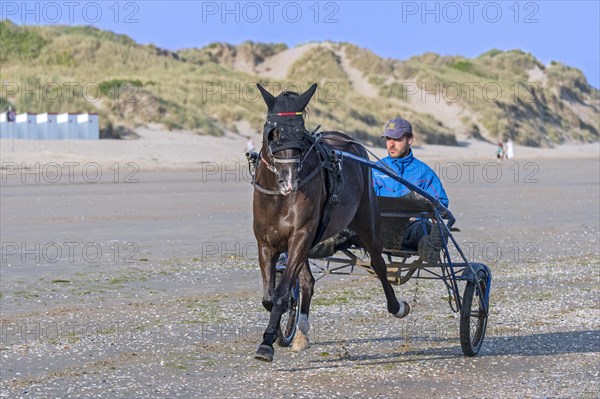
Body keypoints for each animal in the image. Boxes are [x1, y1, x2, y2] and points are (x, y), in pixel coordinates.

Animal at [251, 83, 410, 364]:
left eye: (300, 133)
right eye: (273, 133)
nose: (289, 181)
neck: (280, 197)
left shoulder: (301, 235)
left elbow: (281, 294)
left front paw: (267, 343)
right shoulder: (266, 243)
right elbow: (270, 297)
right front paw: (278, 332)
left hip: (367, 219)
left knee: (378, 263)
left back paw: (396, 306)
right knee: (307, 282)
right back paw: (301, 332)